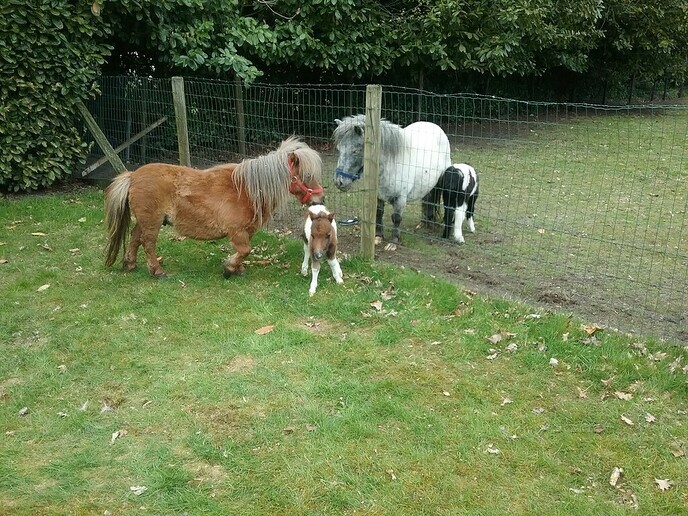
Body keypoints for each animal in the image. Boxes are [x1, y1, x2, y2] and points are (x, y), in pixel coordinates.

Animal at [104, 137, 324, 278]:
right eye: (306, 176)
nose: (319, 199)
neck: (247, 190)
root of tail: (132, 176)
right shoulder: (237, 232)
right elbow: (245, 250)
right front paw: (229, 268)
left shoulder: (246, 231)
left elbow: (243, 251)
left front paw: (237, 269)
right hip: (152, 222)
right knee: (147, 243)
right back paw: (157, 271)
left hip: (145, 220)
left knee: (134, 238)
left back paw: (130, 264)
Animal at [333, 114, 452, 250]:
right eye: (339, 149)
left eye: (355, 151)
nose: (339, 182)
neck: (390, 164)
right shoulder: (378, 196)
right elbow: (379, 214)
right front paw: (378, 237)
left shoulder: (400, 199)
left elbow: (396, 218)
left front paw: (394, 242)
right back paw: (424, 223)